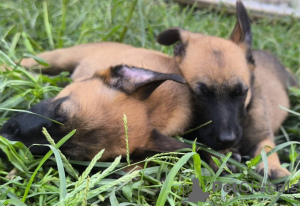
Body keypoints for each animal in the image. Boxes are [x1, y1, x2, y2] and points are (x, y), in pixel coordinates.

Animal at [156, 0, 296, 179]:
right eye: (202, 93)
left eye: (241, 92)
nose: (227, 140)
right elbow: (203, 143)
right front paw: (222, 155)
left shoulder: (262, 135)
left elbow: (267, 149)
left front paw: (273, 166)